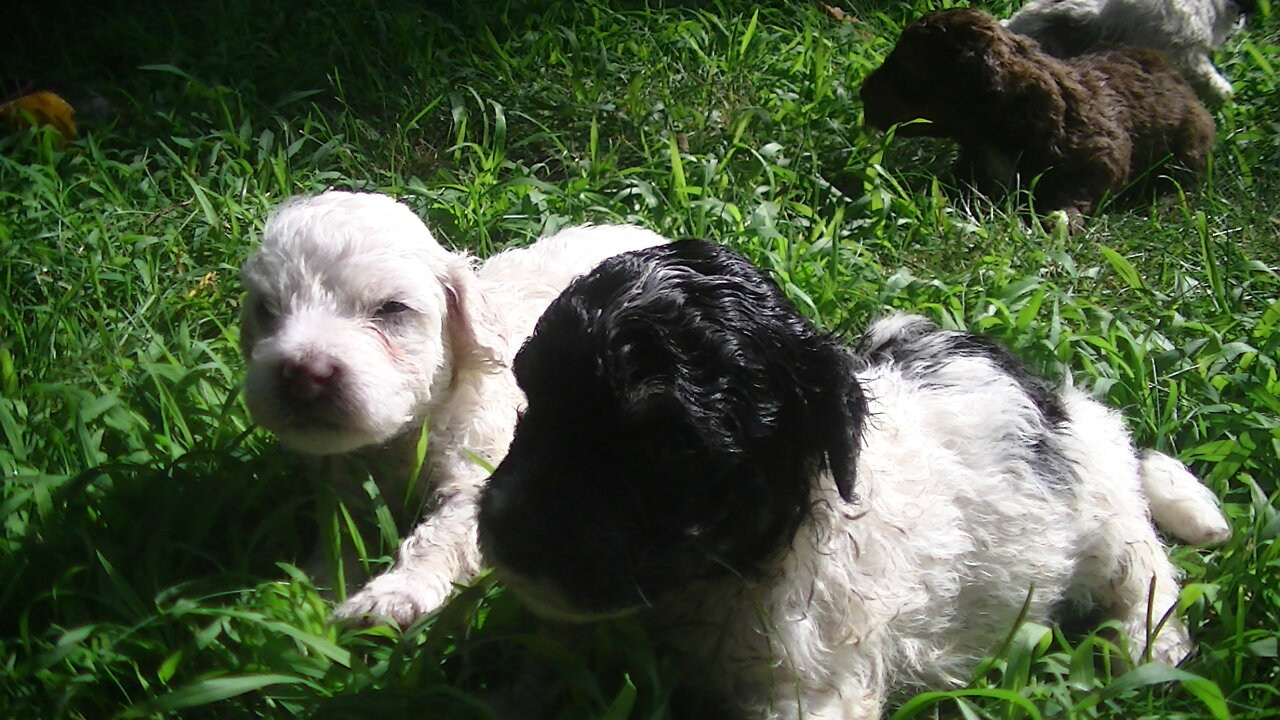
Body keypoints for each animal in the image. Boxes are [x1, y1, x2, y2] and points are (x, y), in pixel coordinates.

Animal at [236, 190, 670, 622]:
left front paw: (392, 596)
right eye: (266, 310)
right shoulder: (344, 482)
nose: (303, 374)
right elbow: (340, 534)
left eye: (392, 308)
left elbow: (442, 535)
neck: (407, 435)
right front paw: (310, 593)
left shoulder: (481, 467)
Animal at [481, 242, 1228, 717]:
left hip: (1096, 508)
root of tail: (1054, 397)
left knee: (1141, 555)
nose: (510, 536)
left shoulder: (813, 690)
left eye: (668, 447)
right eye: (532, 400)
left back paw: (1148, 640)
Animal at [855, 7, 1213, 222]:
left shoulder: (1099, 157)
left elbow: (1075, 196)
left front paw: (1057, 222)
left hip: (1188, 143)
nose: (861, 92)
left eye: (907, 68)